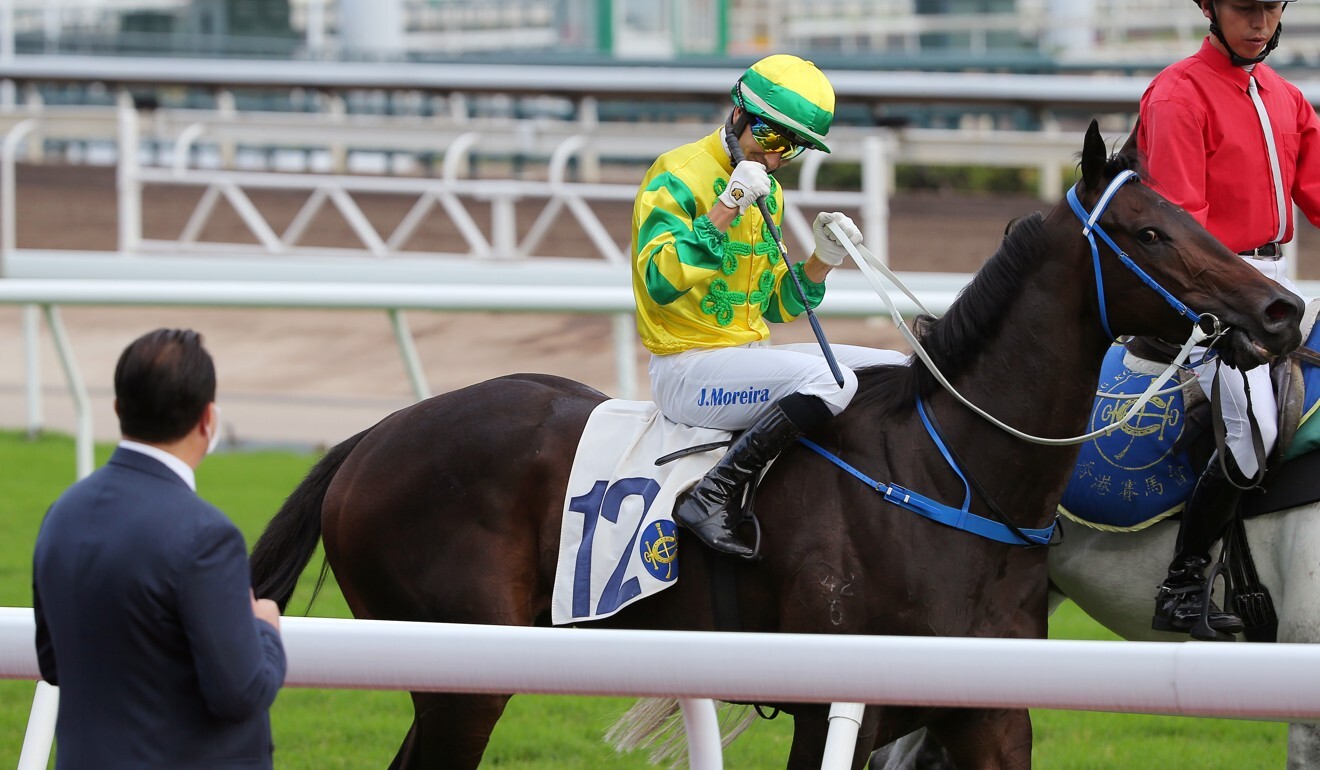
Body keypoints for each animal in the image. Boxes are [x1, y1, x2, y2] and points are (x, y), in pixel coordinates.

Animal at [245, 122, 1298, 770]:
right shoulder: (836, 703)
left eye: (1194, 215)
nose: (1283, 311)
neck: (955, 477)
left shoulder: (989, 709)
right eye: (1150, 233)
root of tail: (374, 436)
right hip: (460, 675)